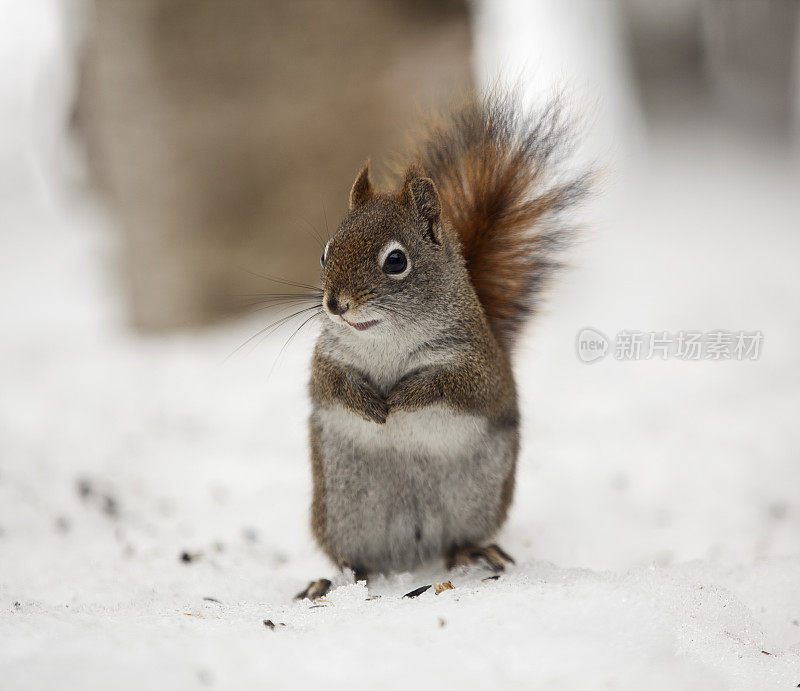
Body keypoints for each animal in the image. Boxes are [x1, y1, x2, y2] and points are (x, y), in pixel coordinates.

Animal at [296, 92, 584, 600]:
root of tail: (414, 549)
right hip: (343, 509)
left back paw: (472, 553)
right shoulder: (328, 357)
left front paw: (402, 399)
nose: (334, 304)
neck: (386, 339)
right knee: (356, 558)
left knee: (458, 540)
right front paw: (369, 403)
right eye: (326, 253)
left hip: (475, 499)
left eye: (396, 261)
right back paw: (334, 580)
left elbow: (450, 387)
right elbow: (331, 385)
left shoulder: (474, 363)